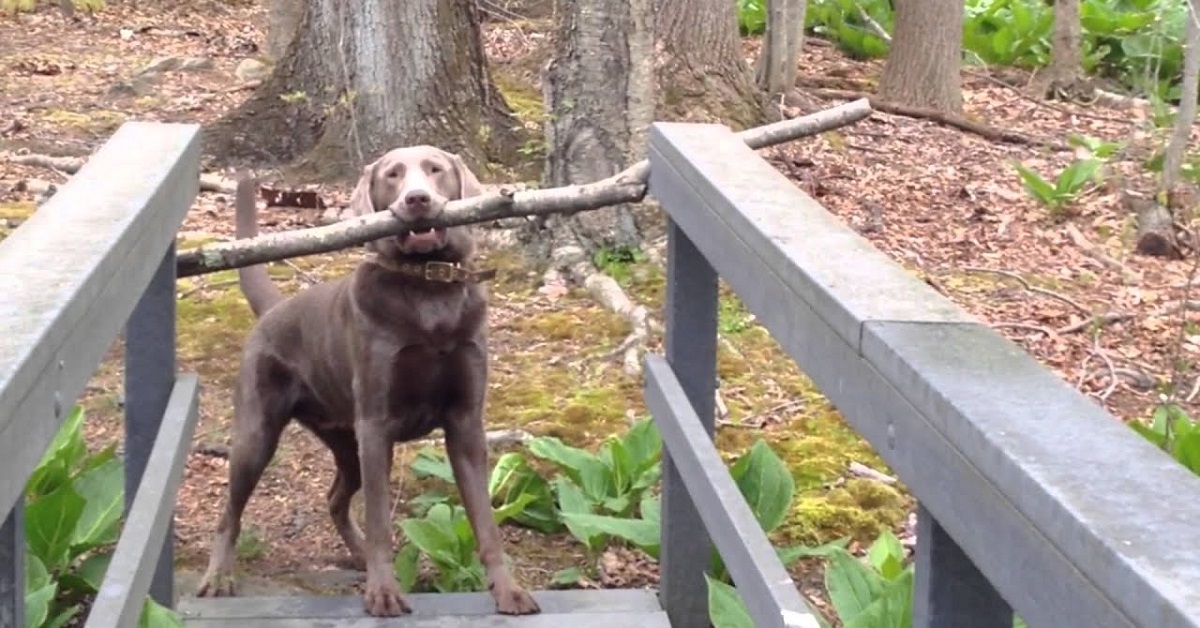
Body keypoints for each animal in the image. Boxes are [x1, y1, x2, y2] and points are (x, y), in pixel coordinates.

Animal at [194, 147, 542, 619]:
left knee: (335, 498)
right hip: (257, 435)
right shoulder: (377, 425)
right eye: (392, 175)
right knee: (229, 511)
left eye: (435, 169)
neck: (427, 291)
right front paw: (384, 593)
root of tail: (274, 309)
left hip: (346, 442)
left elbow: (486, 522)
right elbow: (380, 519)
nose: (417, 199)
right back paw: (218, 577)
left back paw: (356, 554)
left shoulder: (466, 423)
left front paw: (509, 591)